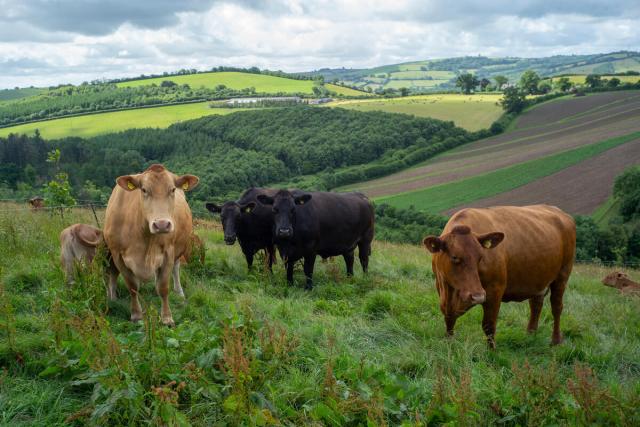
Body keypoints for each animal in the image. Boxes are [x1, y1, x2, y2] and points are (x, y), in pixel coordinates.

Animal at [104, 164, 199, 326]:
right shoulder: (117, 254)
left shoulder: (168, 253)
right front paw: (136, 314)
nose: (162, 224)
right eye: (144, 190)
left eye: (172, 189)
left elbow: (163, 287)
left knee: (176, 268)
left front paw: (167, 317)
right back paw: (113, 298)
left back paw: (179, 292)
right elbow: (132, 286)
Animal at [423, 205, 576, 349]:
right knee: (536, 305)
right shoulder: (443, 290)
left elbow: (489, 325)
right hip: (539, 280)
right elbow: (449, 320)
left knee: (556, 307)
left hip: (562, 275)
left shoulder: (494, 290)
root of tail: (561, 212)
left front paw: (492, 351)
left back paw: (555, 340)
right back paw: (530, 334)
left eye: (480, 257)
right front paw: (449, 344)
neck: (451, 293)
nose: (477, 296)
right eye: (455, 257)